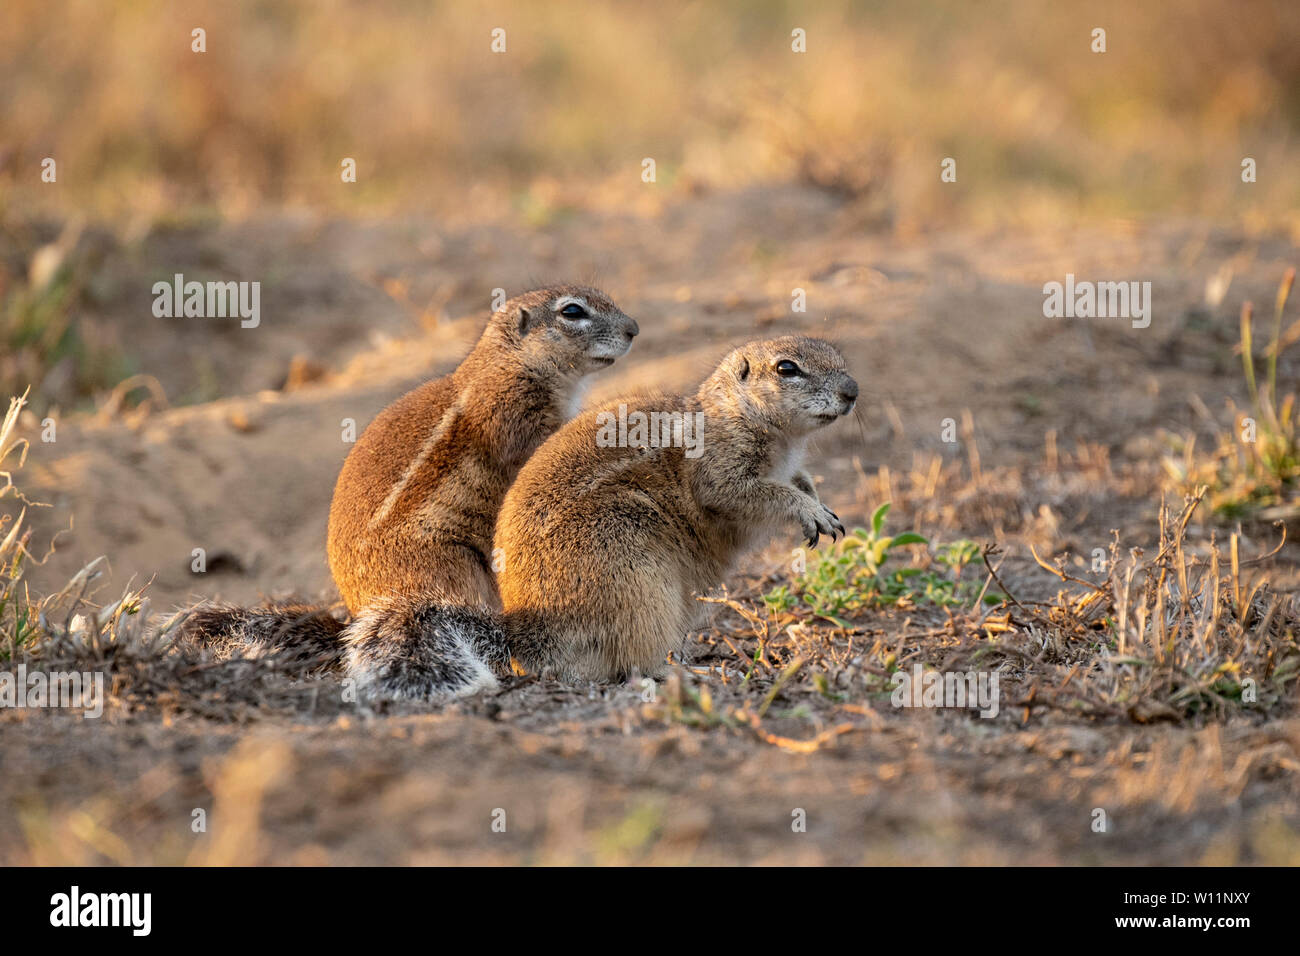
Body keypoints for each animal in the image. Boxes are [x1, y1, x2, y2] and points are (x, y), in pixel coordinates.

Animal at [183, 283, 639, 671]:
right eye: (572, 311)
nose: (634, 329)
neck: (507, 362)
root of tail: (354, 619)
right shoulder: (512, 412)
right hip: (452, 570)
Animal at [340, 335, 857, 697]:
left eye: (837, 355)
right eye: (787, 368)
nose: (852, 392)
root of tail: (528, 633)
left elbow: (799, 481)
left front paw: (822, 505)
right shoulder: (721, 473)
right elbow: (755, 493)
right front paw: (810, 513)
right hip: (637, 578)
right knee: (635, 660)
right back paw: (690, 672)